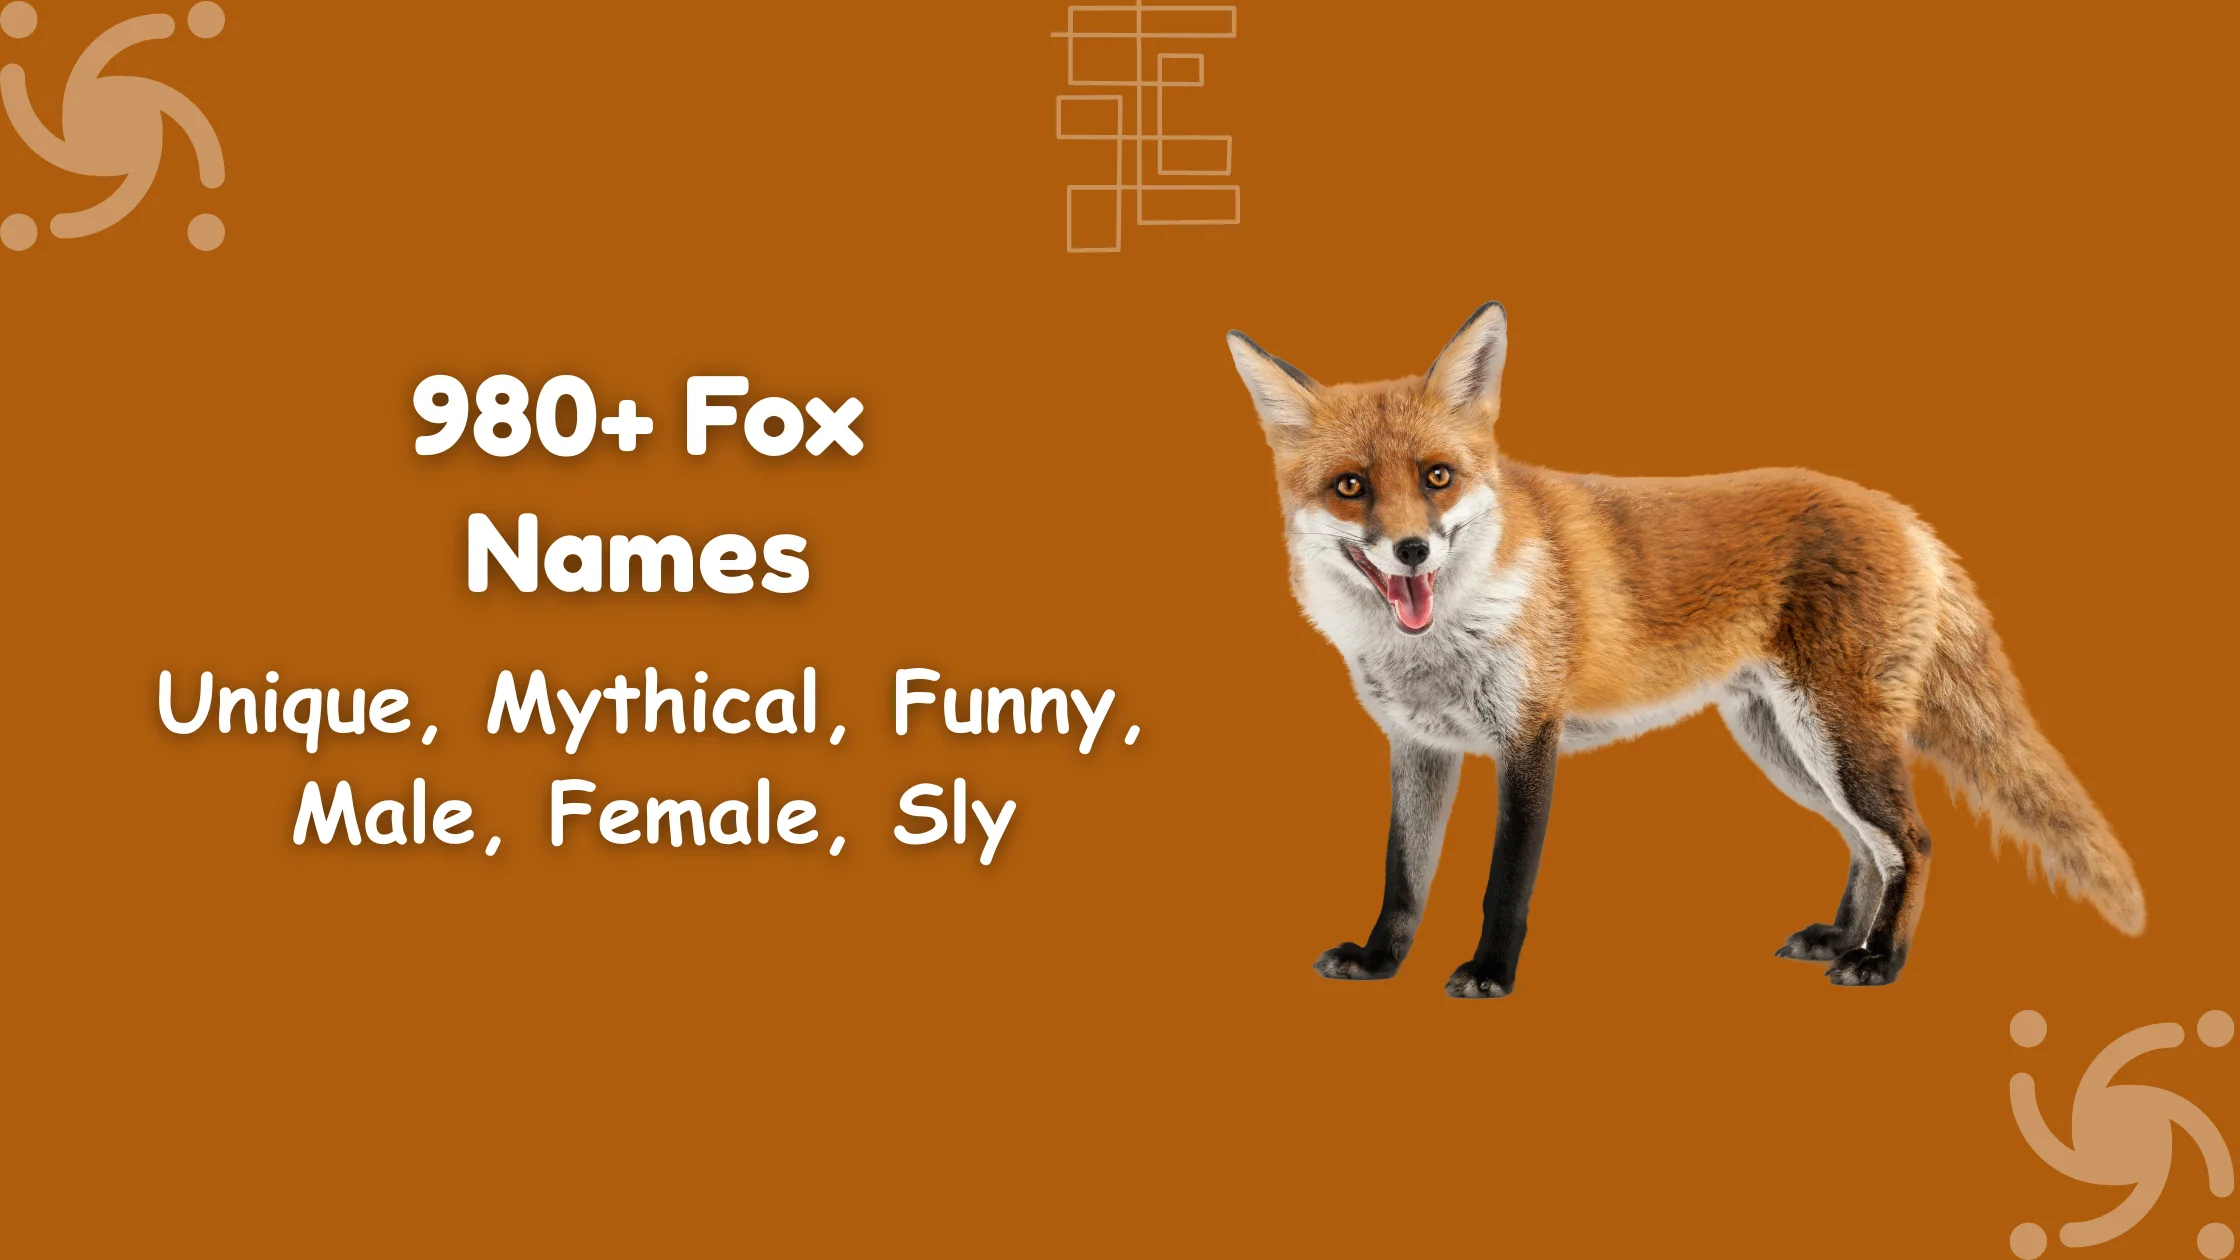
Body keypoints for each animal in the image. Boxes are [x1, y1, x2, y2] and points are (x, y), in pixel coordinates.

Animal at [1225, 302, 2144, 996]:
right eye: (1351, 487)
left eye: (1437, 477)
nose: (1412, 551)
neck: (1443, 637)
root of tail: (1904, 513)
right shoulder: (1418, 744)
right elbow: (1403, 875)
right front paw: (1381, 960)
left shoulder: (1529, 737)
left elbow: (1504, 885)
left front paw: (1489, 974)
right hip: (1787, 746)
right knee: (1866, 846)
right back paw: (1841, 937)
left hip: (1836, 741)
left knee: (1911, 842)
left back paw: (1879, 960)